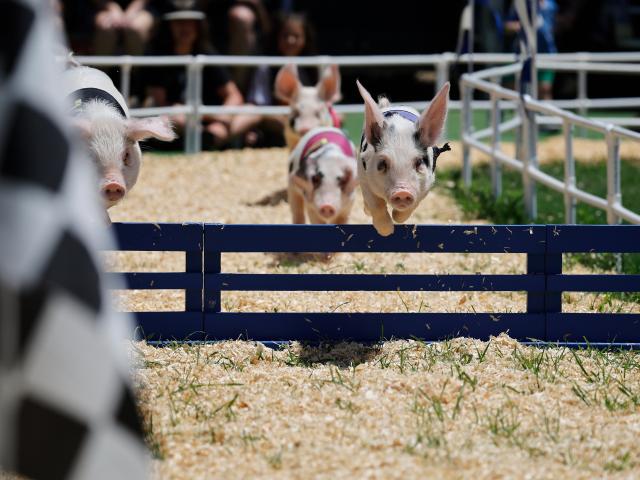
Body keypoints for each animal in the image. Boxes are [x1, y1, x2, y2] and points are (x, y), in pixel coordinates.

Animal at [356, 80, 451, 236]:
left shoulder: (427, 184)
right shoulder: (363, 177)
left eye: (418, 162)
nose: (402, 192)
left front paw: (396, 217)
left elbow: (411, 207)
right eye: (383, 163)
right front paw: (387, 231)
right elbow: (376, 204)